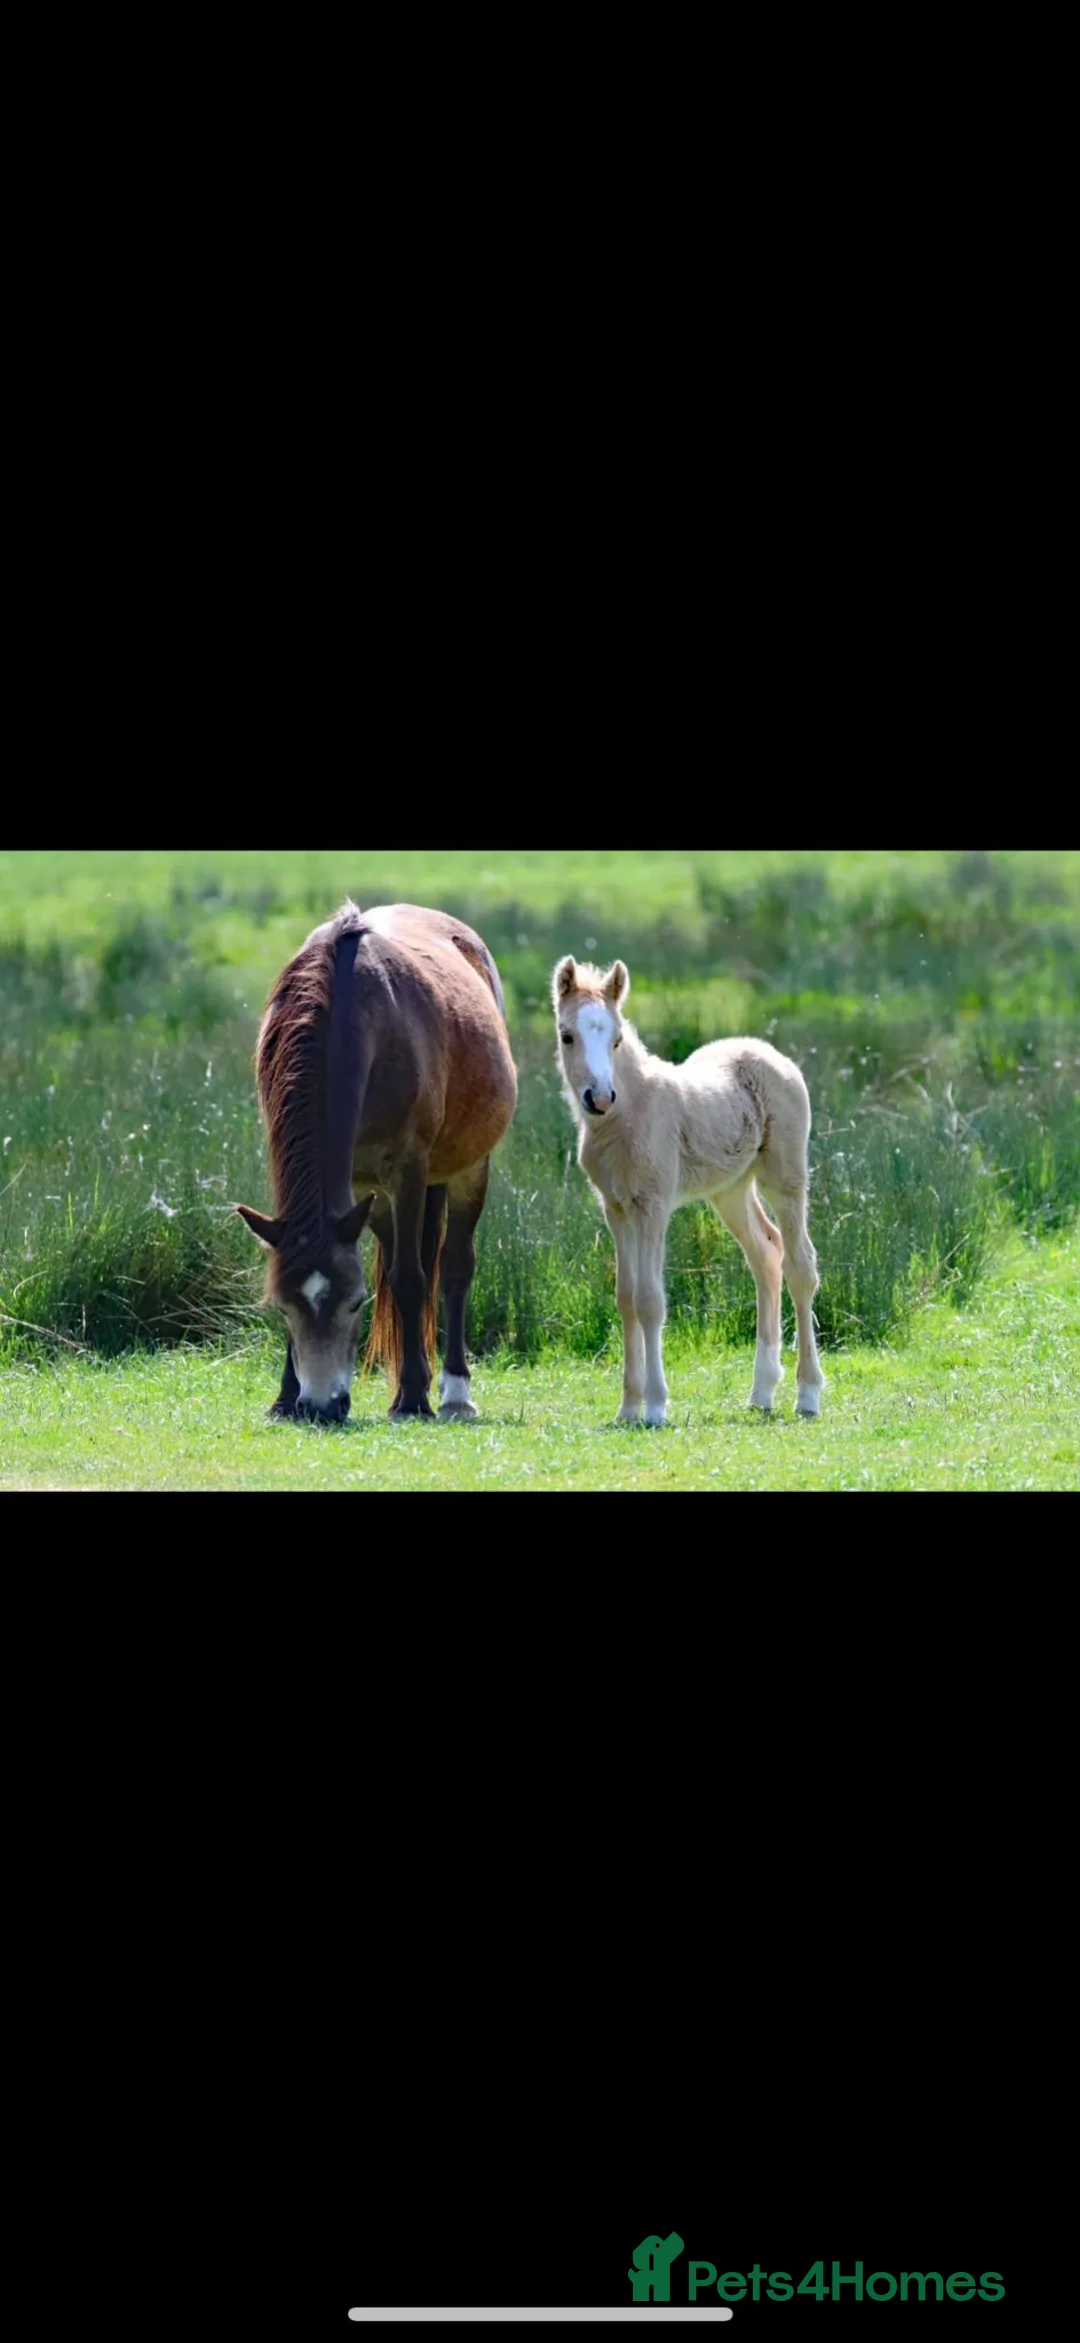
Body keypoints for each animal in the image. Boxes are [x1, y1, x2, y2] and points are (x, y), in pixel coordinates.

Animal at [237, 903, 517, 1423]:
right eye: (283, 1309)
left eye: (354, 1304)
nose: (321, 1406)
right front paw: (285, 1397)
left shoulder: (407, 1169)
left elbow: (411, 1279)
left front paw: (413, 1399)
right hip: (373, 1195)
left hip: (467, 1168)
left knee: (453, 1268)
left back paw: (453, 1391)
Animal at [553, 954, 825, 1425]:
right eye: (567, 1035)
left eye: (617, 1039)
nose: (600, 1098)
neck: (629, 1114)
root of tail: (773, 1055)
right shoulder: (615, 1208)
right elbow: (625, 1298)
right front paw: (628, 1406)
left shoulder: (653, 1205)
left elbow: (649, 1300)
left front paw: (656, 1405)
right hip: (730, 1190)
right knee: (766, 1254)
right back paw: (761, 1392)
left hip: (784, 1175)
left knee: (800, 1266)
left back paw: (806, 1394)